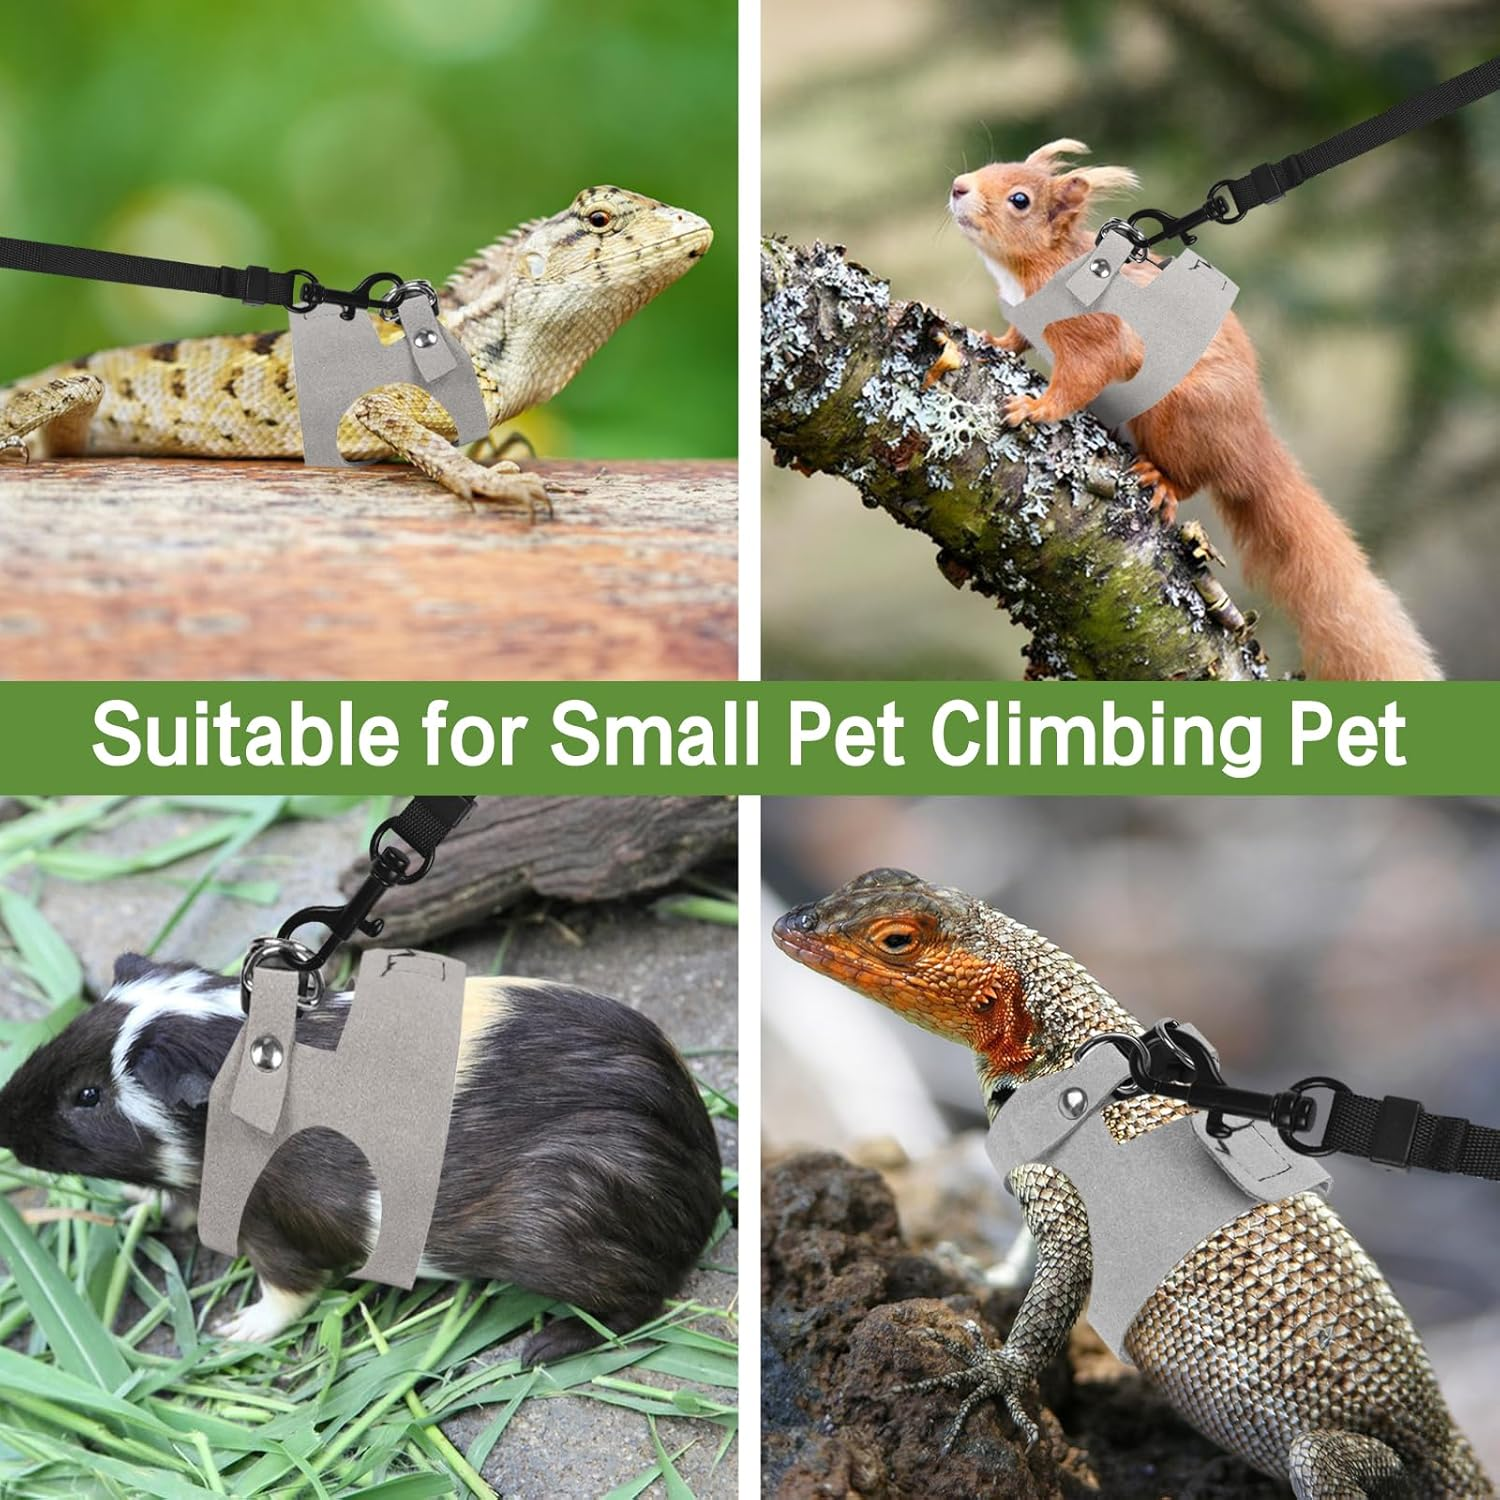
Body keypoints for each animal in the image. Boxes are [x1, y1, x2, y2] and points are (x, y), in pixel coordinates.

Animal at [948, 140, 1442, 682]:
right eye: (993, 166)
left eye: (1020, 199)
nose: (958, 187)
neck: (1052, 268)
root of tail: (1251, 445)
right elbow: (1017, 338)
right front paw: (994, 340)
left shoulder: (1097, 334)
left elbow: (1082, 375)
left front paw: (1036, 408)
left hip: (1181, 417)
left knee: (1190, 475)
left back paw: (1162, 481)